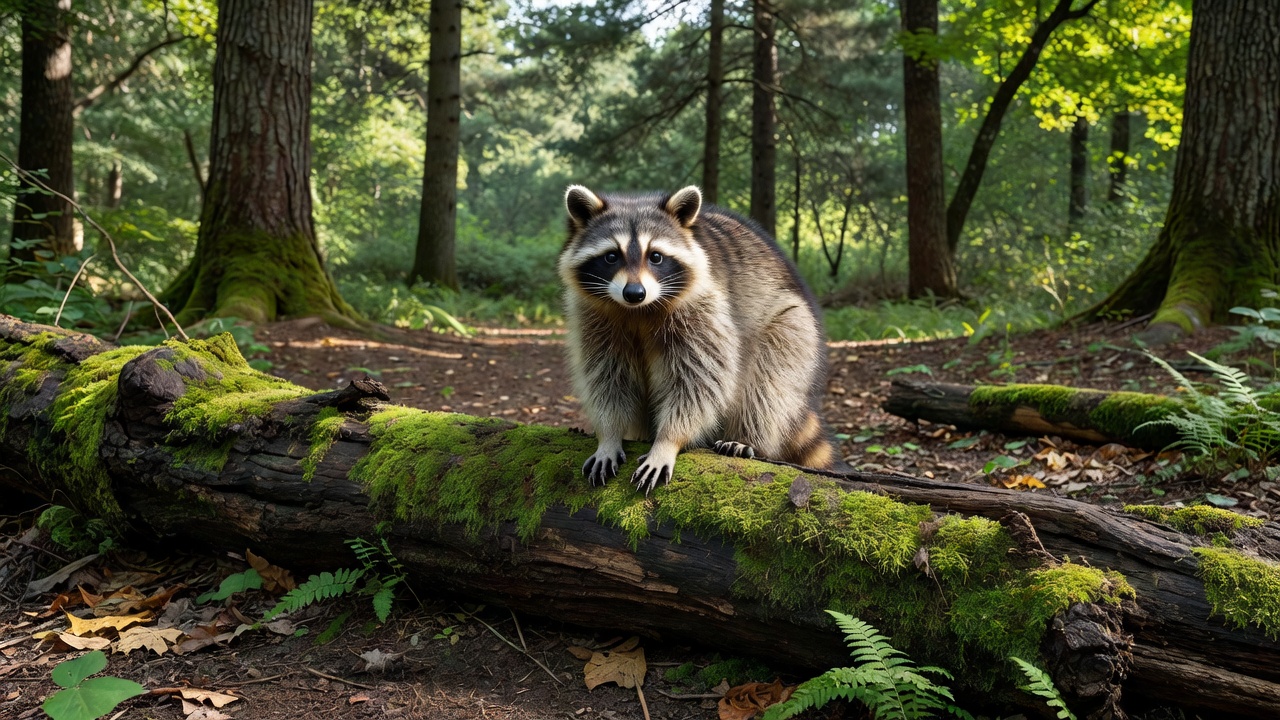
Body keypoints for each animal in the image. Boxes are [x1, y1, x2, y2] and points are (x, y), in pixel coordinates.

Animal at [559, 184, 835, 492]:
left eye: (655, 256)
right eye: (611, 256)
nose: (634, 293)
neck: (638, 311)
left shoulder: (705, 307)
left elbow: (698, 382)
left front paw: (667, 441)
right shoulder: (594, 319)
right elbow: (607, 377)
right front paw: (609, 435)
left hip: (794, 327)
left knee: (768, 386)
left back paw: (747, 438)